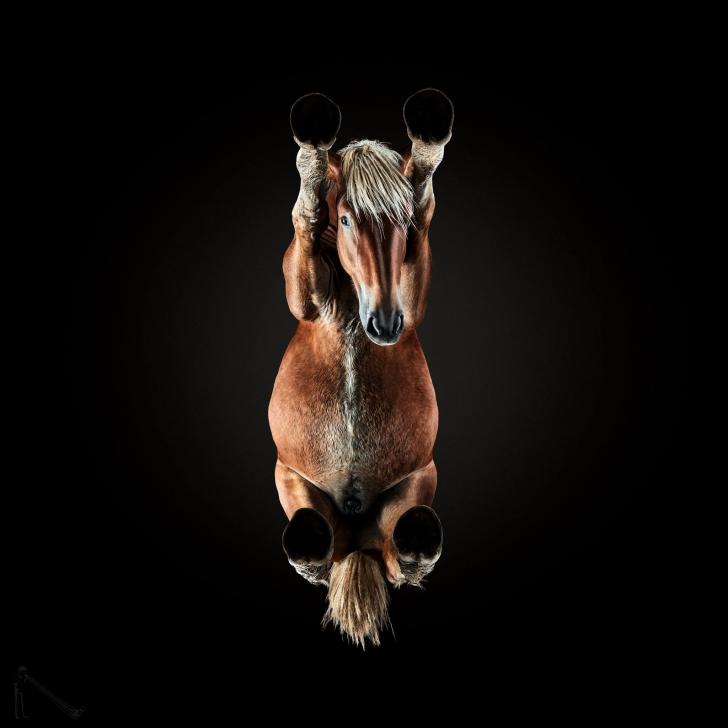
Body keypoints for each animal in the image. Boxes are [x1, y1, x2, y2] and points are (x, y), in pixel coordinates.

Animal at [264, 89, 452, 648]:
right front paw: (312, 155)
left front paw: (427, 143)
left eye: (403, 226)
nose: (385, 322)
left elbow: (423, 188)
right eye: (346, 220)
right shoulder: (304, 295)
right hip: (292, 483)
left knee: (401, 551)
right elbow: (305, 215)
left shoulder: (413, 296)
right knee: (313, 545)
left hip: (414, 485)